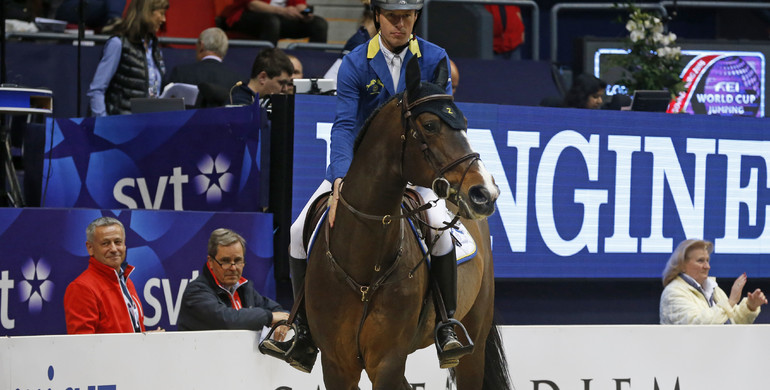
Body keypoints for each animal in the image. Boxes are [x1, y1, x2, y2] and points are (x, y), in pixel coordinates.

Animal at [304, 56, 508, 388]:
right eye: (430, 125)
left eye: (464, 124)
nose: (484, 192)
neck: (364, 258)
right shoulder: (336, 364)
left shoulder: (387, 360)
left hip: (473, 344)